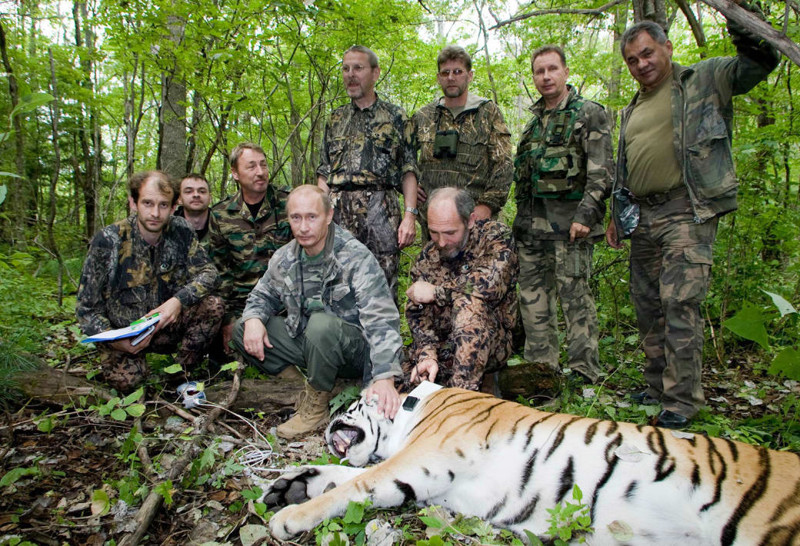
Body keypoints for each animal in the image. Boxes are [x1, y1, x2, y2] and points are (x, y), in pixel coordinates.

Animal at [268, 382, 800, 544]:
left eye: (353, 403)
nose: (327, 419)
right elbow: (347, 475)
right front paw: (290, 484)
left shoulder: (424, 458)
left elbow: (355, 483)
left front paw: (287, 518)